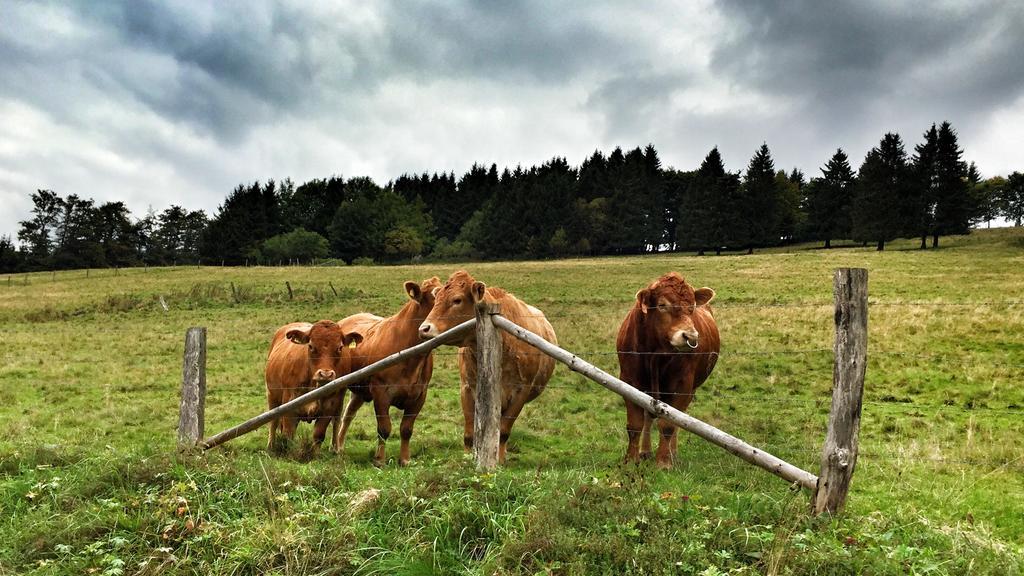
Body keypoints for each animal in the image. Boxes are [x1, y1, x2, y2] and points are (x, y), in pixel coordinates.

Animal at [266, 319, 362, 450]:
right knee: (273, 422)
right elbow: (288, 434)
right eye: (311, 346)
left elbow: (319, 435)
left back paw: (335, 449)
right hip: (272, 395)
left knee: (336, 421)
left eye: (340, 347)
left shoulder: (330, 405)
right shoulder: (289, 404)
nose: (326, 375)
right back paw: (271, 445)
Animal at [335, 276, 440, 463]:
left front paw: (405, 459)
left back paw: (340, 447)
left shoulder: (420, 395)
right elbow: (384, 428)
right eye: (436, 294)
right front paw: (379, 459)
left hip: (360, 391)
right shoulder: (380, 392)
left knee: (348, 414)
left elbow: (406, 429)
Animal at [417, 268, 557, 461]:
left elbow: (503, 432)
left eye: (457, 300)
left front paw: (499, 459)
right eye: (436, 299)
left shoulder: (522, 392)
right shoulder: (467, 388)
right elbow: (469, 433)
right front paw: (468, 457)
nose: (424, 328)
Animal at [614, 272, 720, 467]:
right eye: (662, 305)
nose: (690, 336)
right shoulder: (629, 382)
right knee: (649, 418)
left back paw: (673, 454)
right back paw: (645, 451)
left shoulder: (683, 386)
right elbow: (635, 424)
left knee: (678, 419)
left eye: (692, 307)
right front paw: (631, 459)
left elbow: (669, 425)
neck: (655, 353)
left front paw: (664, 462)